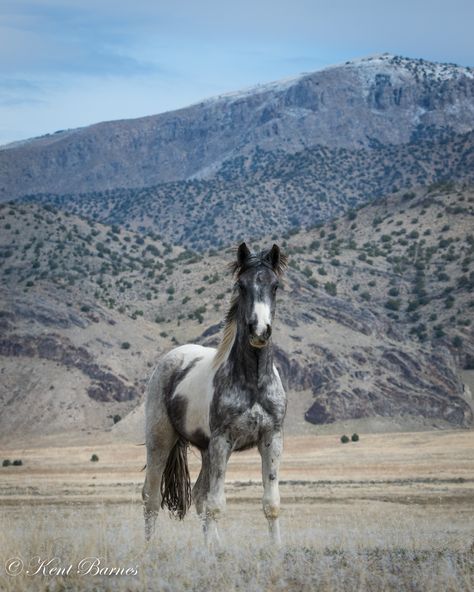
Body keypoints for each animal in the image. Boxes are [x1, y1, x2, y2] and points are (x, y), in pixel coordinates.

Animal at [142, 243, 288, 548]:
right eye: (241, 285)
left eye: (275, 285)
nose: (259, 331)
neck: (253, 383)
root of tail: (172, 358)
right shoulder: (223, 440)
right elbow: (217, 504)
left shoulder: (271, 438)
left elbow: (270, 502)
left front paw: (276, 550)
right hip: (161, 440)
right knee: (151, 498)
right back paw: (149, 550)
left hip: (207, 451)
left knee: (198, 496)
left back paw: (214, 548)